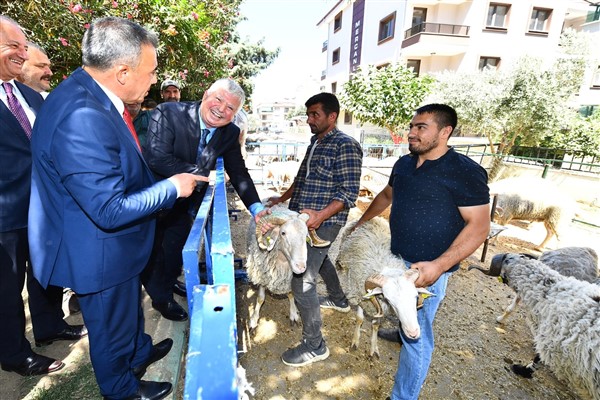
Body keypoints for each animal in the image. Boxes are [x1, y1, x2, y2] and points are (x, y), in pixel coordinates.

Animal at [338, 217, 432, 358]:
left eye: (416, 297)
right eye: (390, 301)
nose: (413, 333)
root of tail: (375, 218)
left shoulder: (381, 309)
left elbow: (376, 325)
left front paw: (374, 348)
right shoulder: (361, 295)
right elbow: (359, 319)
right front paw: (355, 341)